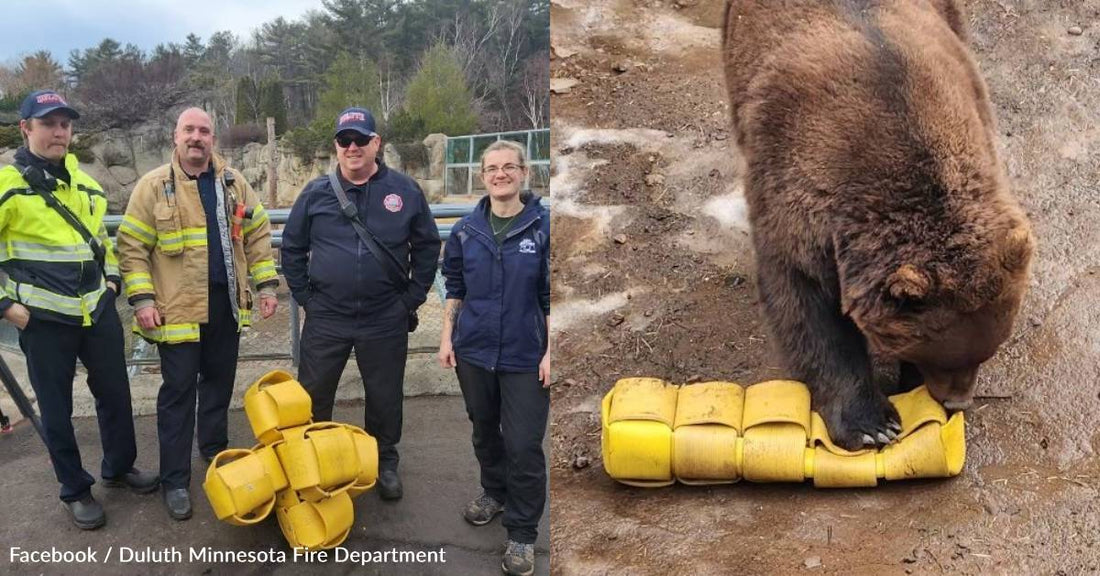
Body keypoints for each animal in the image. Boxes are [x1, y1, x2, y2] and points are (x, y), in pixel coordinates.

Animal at [721, 0, 1029, 450]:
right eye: (944, 357)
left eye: (983, 353)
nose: (957, 401)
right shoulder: (799, 202)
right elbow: (807, 308)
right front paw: (872, 424)